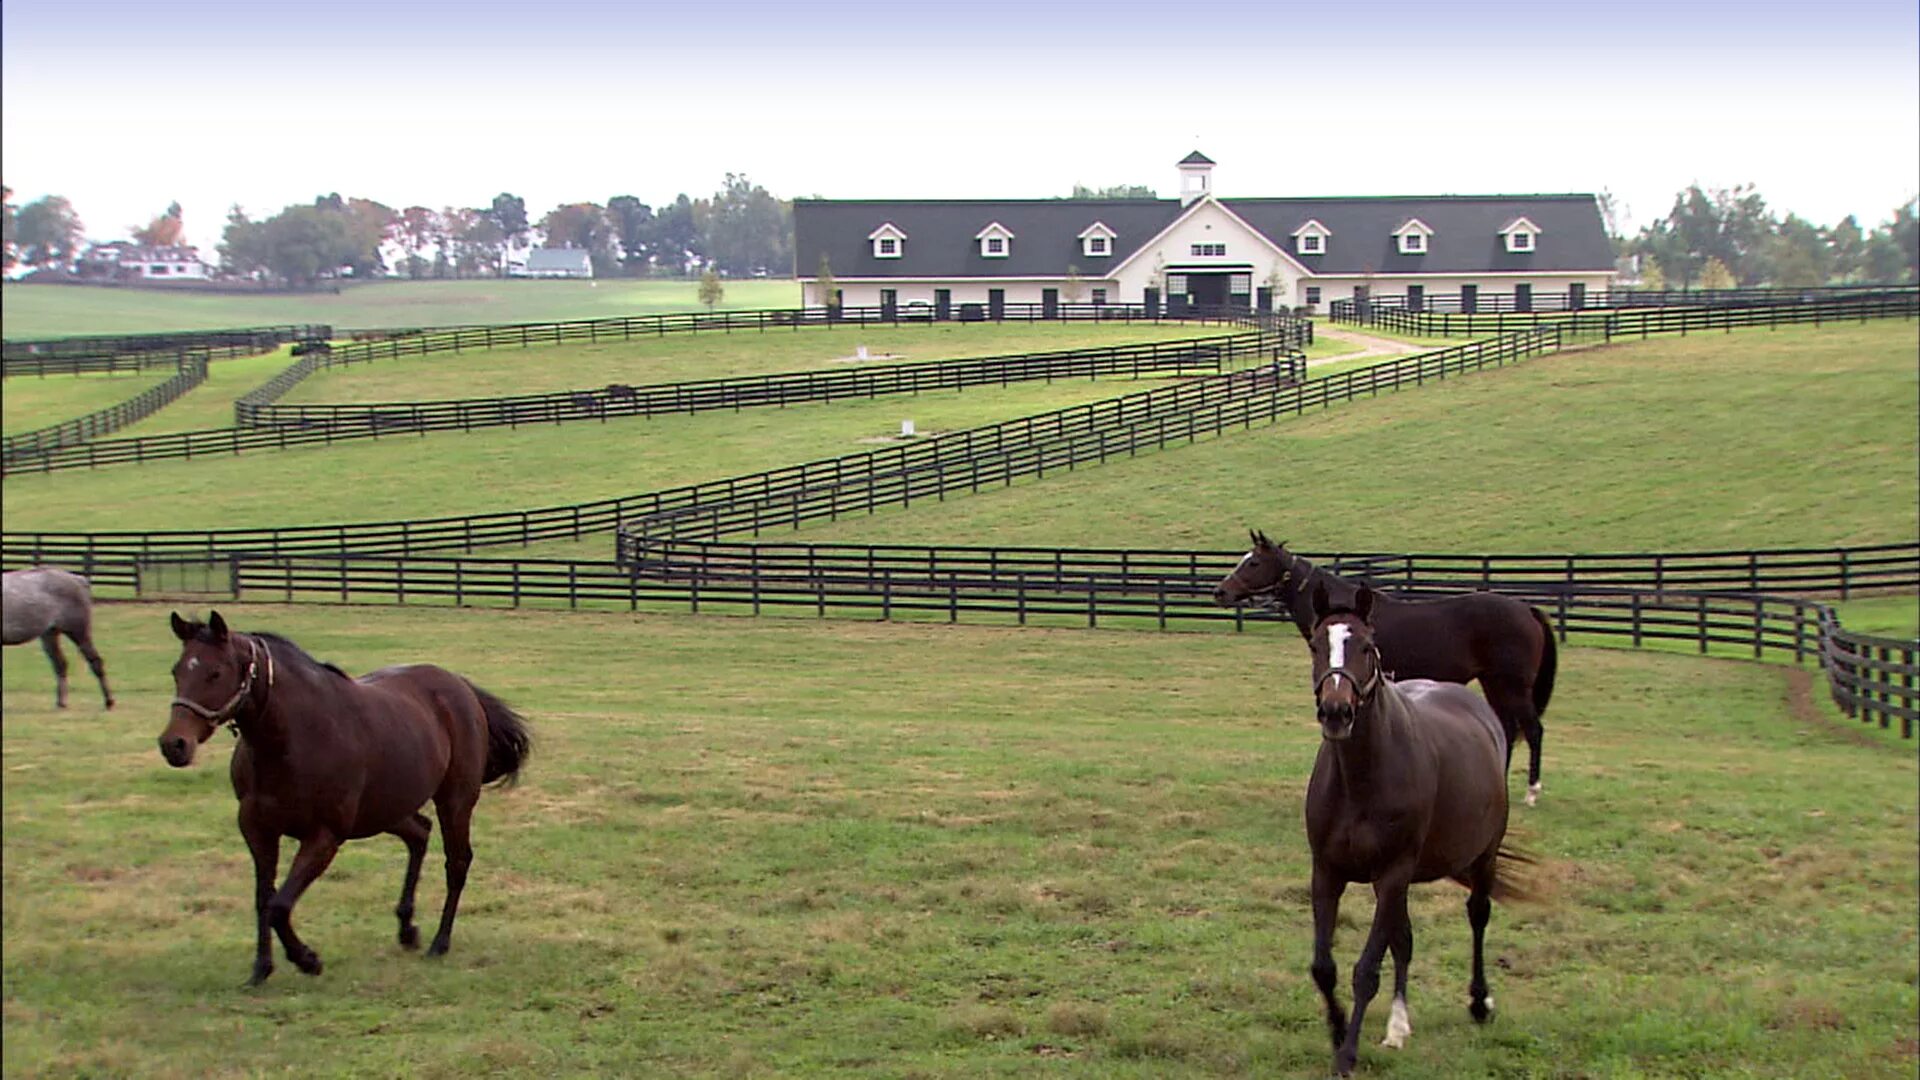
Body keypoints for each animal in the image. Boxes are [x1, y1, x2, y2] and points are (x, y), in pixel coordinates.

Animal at [3, 564, 113, 707]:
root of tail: (78, 580)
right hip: (50, 634)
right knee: (61, 664)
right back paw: (61, 702)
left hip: (78, 633)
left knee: (95, 662)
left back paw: (108, 701)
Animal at [157, 611, 529, 980]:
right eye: (177, 670)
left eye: (216, 672)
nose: (174, 745)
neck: (294, 737)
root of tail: (461, 686)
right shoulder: (257, 830)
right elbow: (264, 899)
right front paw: (261, 969)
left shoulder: (324, 836)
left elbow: (279, 906)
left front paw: (307, 960)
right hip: (384, 810)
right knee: (419, 834)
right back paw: (407, 929)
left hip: (454, 800)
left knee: (457, 862)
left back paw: (439, 942)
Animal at [1213, 534, 1559, 803]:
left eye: (1254, 563)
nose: (1221, 591)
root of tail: (1527, 609)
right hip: (1494, 683)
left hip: (1512, 685)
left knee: (1533, 730)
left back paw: (1531, 793)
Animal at [1297, 584, 1520, 1068]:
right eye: (1316, 645)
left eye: (1365, 646)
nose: (1336, 713)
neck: (1362, 780)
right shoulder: (1327, 872)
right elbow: (1325, 967)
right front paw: (1338, 1030)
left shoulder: (1393, 872)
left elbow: (1366, 971)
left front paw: (1347, 1055)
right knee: (1404, 939)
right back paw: (1398, 1026)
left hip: (1483, 855)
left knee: (1478, 914)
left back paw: (1479, 1002)